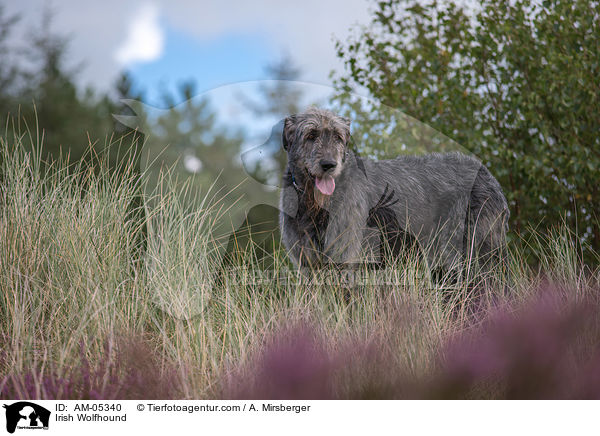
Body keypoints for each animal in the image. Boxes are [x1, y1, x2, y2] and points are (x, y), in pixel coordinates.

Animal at [278, 107, 508, 282]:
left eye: (337, 136)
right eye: (311, 135)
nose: (329, 165)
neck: (316, 204)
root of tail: (488, 175)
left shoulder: (347, 255)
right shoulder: (307, 263)